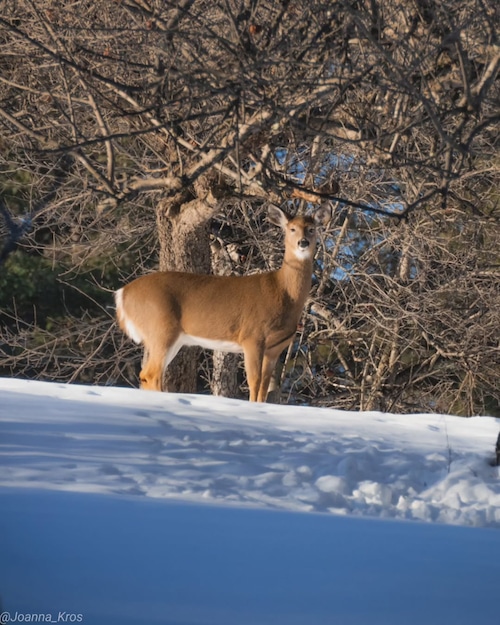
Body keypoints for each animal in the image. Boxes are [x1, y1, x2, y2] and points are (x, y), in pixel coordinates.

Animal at [115, 202, 330, 402]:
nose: (303, 242)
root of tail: (122, 293)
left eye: (312, 228)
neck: (282, 291)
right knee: (152, 374)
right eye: (291, 228)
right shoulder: (252, 336)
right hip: (161, 328)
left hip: (168, 337)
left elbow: (264, 386)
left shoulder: (275, 347)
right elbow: (254, 381)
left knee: (147, 375)